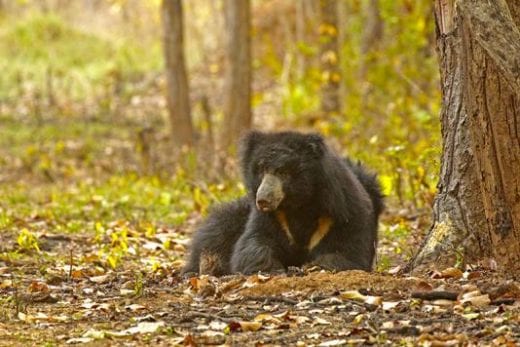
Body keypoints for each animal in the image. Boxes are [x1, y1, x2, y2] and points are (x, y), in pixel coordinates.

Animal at [182, 131, 382, 278]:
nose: (262, 199)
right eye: (261, 169)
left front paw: (312, 266)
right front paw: (271, 268)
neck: (299, 205)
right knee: (217, 229)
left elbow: (349, 251)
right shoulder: (271, 217)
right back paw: (207, 264)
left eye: (283, 172)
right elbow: (253, 244)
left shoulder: (342, 213)